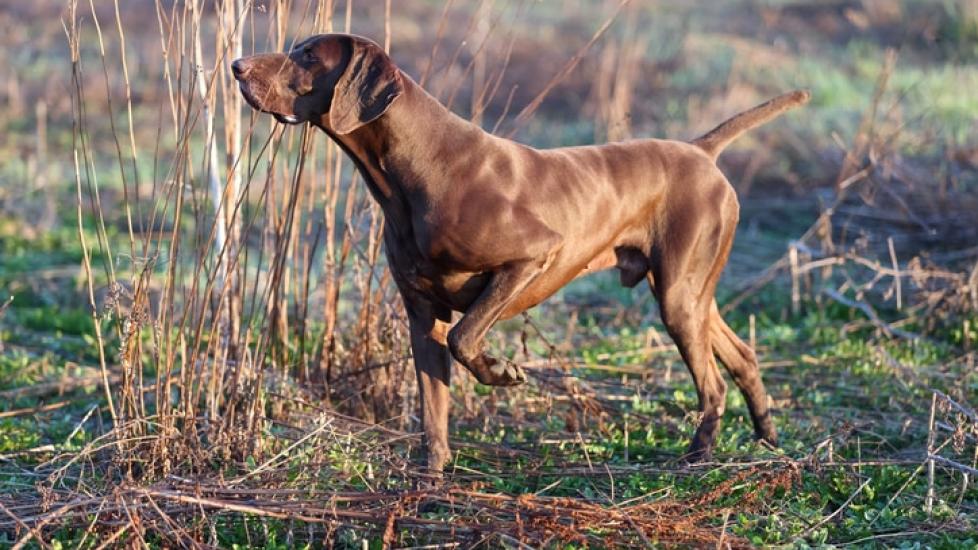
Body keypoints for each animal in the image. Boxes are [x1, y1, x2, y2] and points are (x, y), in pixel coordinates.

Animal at [233, 33, 804, 474]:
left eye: (309, 55)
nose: (237, 66)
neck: (417, 168)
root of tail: (701, 151)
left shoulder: (532, 258)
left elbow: (466, 338)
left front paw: (502, 372)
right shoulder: (422, 316)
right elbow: (433, 411)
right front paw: (430, 480)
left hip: (679, 298)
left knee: (712, 383)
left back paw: (698, 457)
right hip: (690, 295)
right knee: (743, 356)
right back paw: (768, 442)